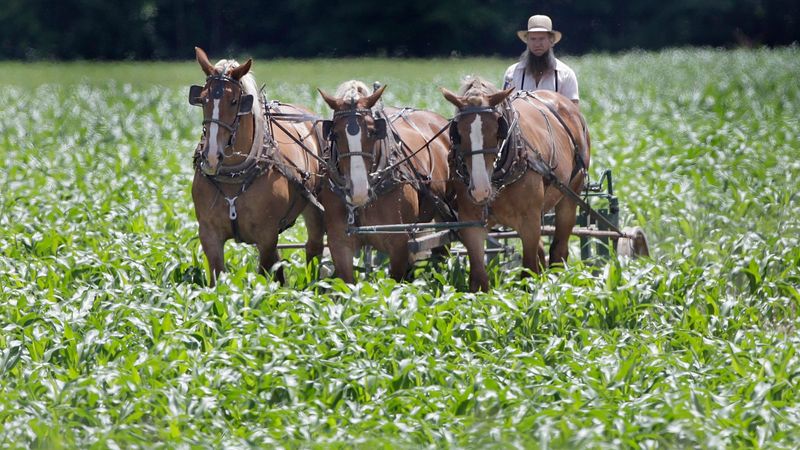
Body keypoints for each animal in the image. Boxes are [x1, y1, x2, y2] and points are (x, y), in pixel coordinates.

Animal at [189, 47, 324, 286]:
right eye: (203, 100)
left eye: (234, 101)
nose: (211, 156)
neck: (235, 175)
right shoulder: (208, 233)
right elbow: (217, 278)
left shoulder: (267, 235)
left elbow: (263, 275)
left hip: (315, 210)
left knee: (313, 249)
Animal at [440, 77, 592, 292]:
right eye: (457, 133)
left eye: (497, 130)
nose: (480, 190)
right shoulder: (471, 223)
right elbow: (479, 279)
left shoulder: (529, 221)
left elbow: (528, 272)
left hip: (570, 195)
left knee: (558, 249)